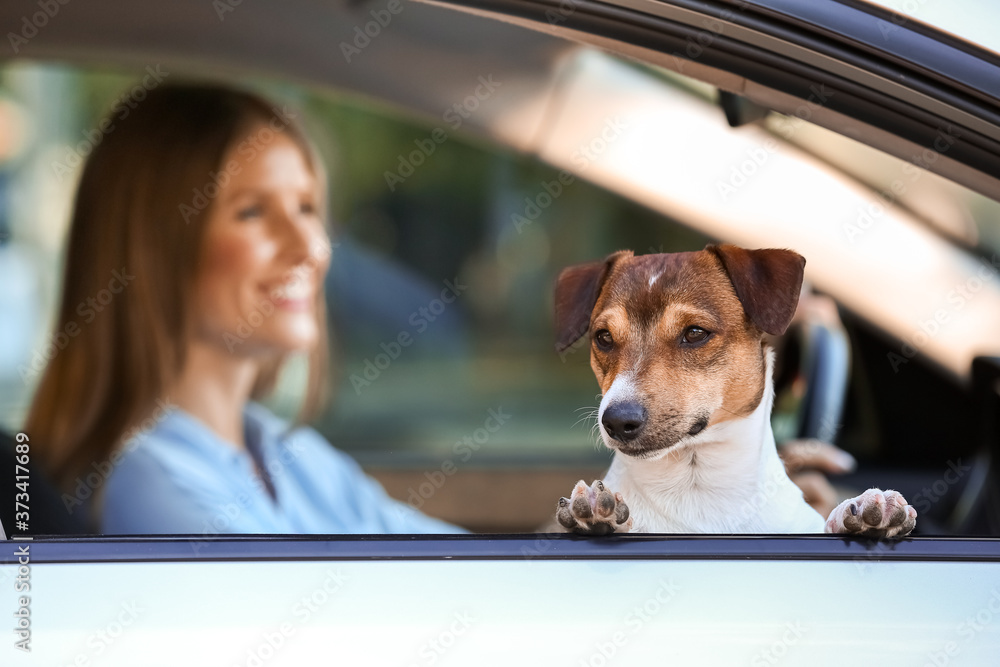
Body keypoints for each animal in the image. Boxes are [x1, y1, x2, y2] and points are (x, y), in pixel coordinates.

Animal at [552, 245, 916, 536]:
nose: (616, 420)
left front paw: (863, 512)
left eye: (695, 333)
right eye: (603, 337)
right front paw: (595, 515)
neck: (696, 484)